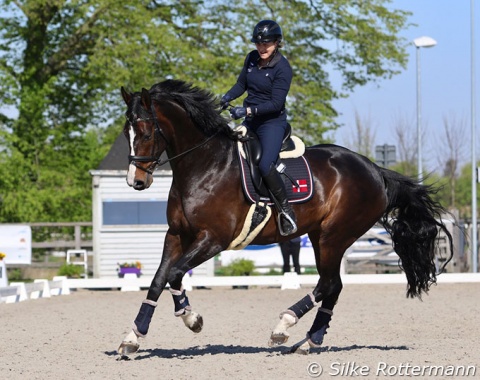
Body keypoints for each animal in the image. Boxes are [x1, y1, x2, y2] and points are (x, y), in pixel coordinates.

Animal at [117, 79, 454, 356]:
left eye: (146, 131)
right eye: (126, 132)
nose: (136, 181)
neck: (204, 164)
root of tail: (375, 170)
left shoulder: (213, 239)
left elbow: (174, 274)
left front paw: (192, 319)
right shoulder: (176, 234)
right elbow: (159, 280)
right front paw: (133, 337)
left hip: (334, 236)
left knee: (328, 284)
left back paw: (284, 326)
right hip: (321, 237)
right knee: (334, 286)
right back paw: (310, 341)